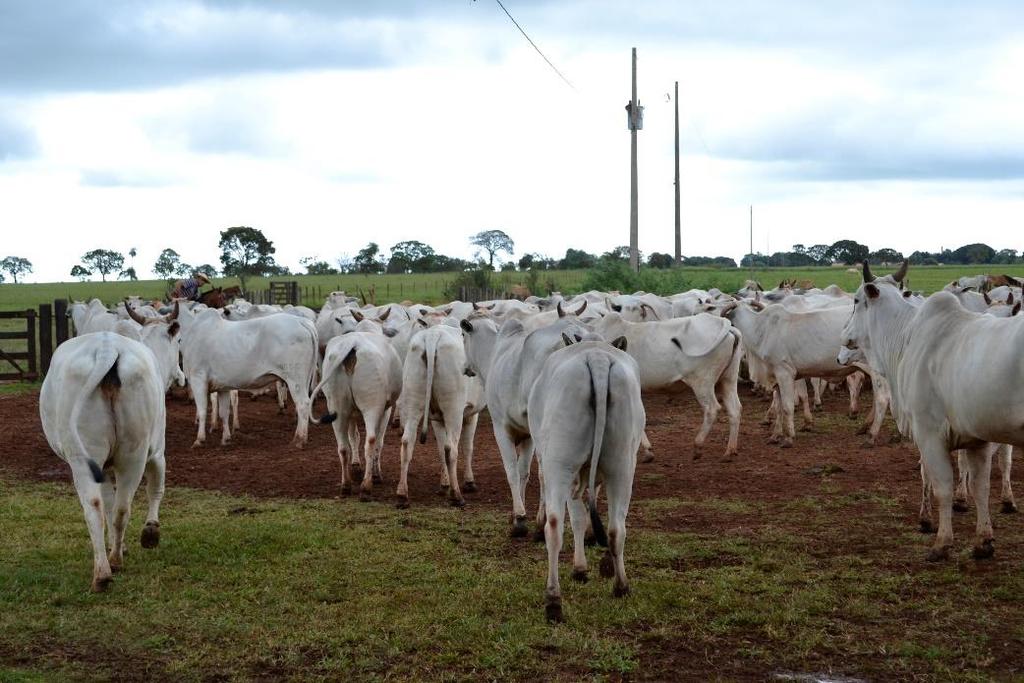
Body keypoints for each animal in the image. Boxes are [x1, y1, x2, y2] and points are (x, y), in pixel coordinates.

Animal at [39, 333, 166, 589]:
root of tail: (107, 346)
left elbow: (108, 502)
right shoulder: (158, 450)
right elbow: (156, 488)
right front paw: (150, 532)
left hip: (85, 456)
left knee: (98, 507)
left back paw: (103, 572)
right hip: (134, 454)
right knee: (120, 507)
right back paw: (113, 562)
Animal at [524, 339, 643, 622]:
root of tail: (597, 358)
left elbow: (578, 519)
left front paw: (580, 568)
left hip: (561, 465)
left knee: (555, 526)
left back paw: (553, 601)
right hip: (623, 466)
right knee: (616, 528)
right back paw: (621, 586)